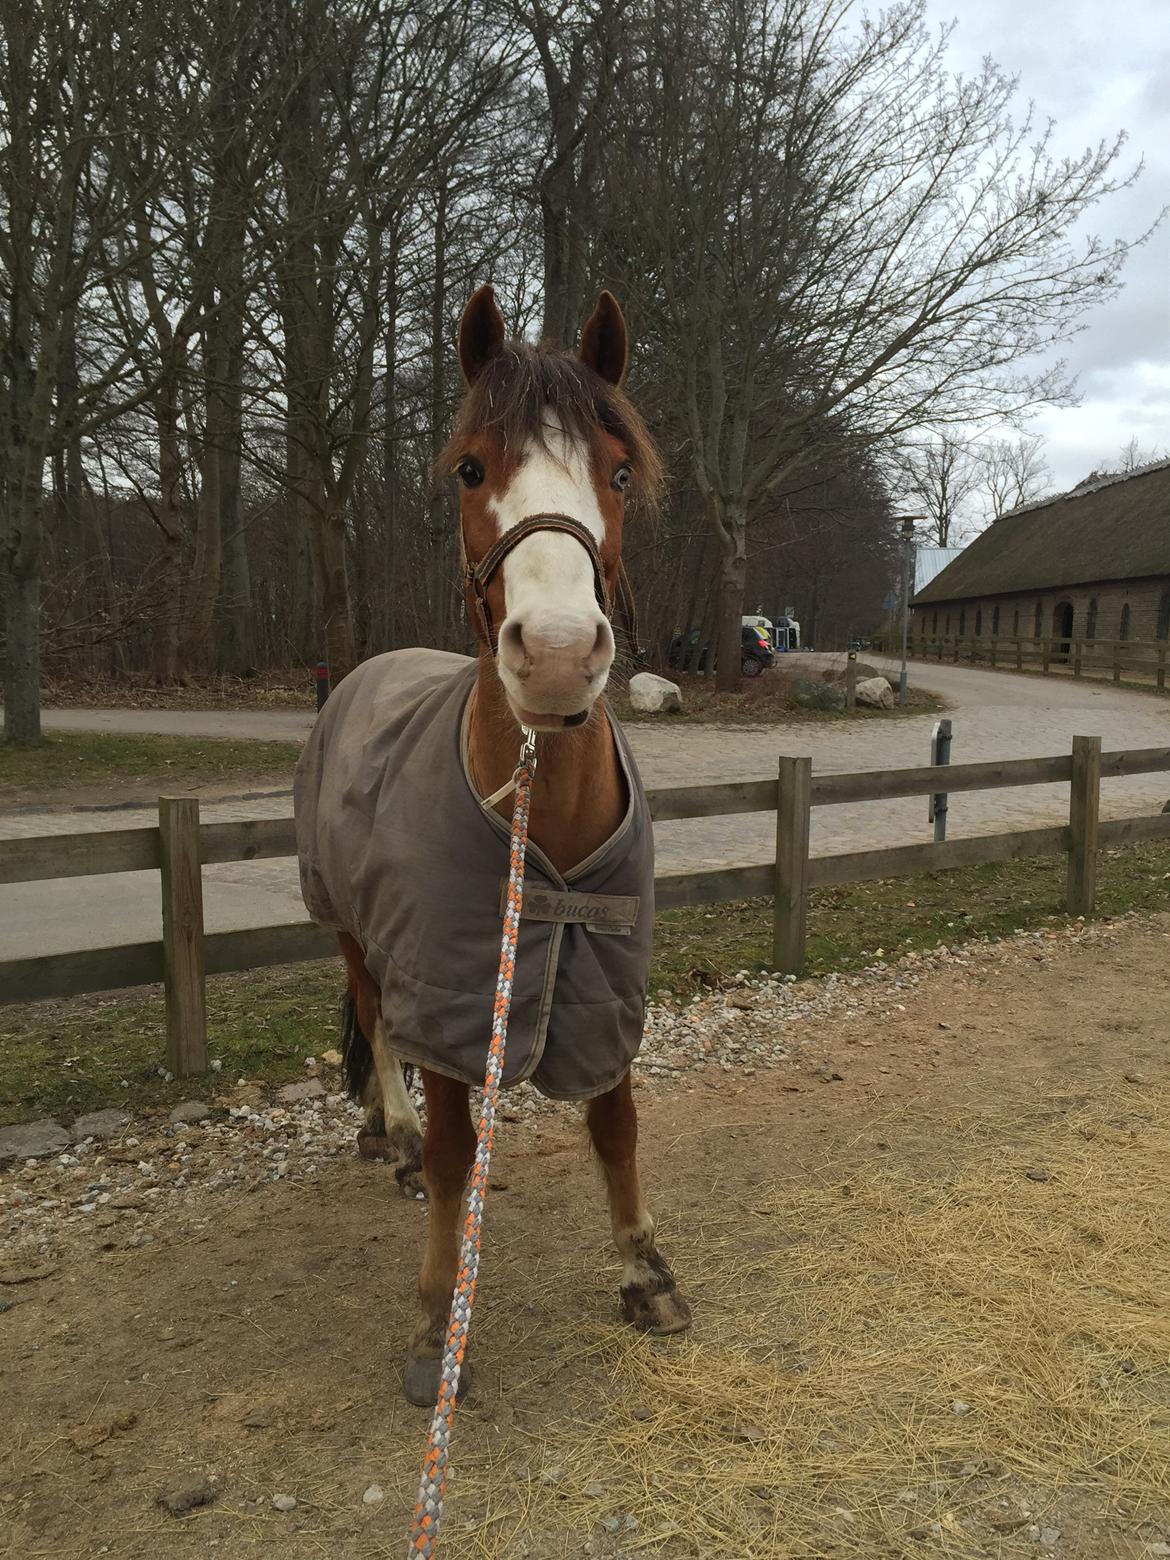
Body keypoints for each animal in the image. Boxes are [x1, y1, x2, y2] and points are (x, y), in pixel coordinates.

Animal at [294, 287, 686, 1410]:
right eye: (471, 468)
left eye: (620, 471)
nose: (554, 656)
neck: (539, 825)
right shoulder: (452, 999)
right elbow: (457, 1152)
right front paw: (439, 1322)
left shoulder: (608, 980)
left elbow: (615, 1121)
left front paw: (643, 1269)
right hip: (353, 930)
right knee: (377, 1025)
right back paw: (390, 1133)